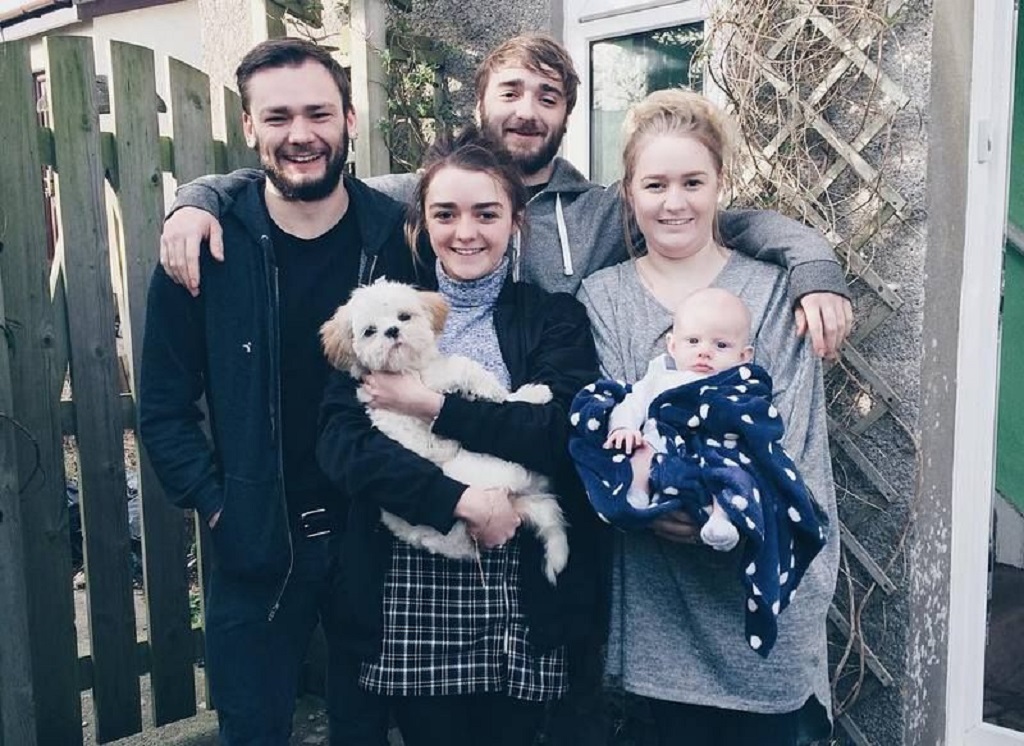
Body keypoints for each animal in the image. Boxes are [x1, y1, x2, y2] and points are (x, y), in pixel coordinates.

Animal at [321, 278, 569, 581]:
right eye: (370, 331)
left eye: (404, 317)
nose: (392, 331)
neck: (407, 368)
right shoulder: (428, 381)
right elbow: (467, 369)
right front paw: (517, 393)